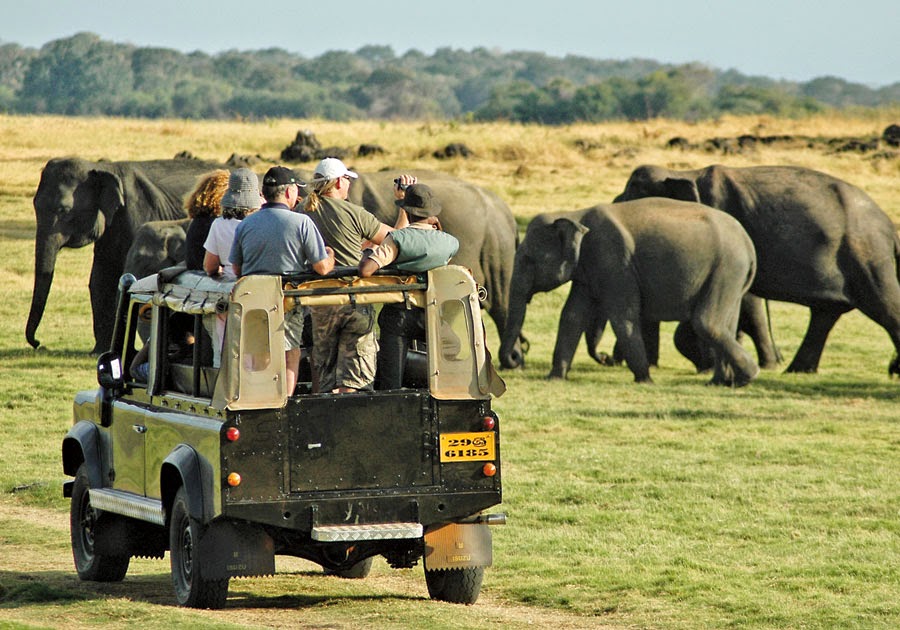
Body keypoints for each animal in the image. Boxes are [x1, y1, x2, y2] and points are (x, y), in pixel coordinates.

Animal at [28, 158, 227, 356]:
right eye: (34, 204)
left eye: (63, 210)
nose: (38, 344)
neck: (102, 168)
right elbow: (100, 278)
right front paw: (99, 352)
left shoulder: (138, 212)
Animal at [500, 199, 760, 386]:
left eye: (528, 259)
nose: (516, 358)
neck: (575, 215)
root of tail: (748, 244)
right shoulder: (588, 270)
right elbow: (571, 317)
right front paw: (554, 378)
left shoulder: (614, 261)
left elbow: (623, 317)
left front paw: (645, 380)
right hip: (731, 277)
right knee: (727, 324)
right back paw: (722, 382)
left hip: (726, 268)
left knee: (707, 322)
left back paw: (749, 375)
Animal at [616, 165, 900, 378]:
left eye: (632, 195)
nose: (610, 360)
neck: (685, 172)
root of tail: (889, 226)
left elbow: (744, 302)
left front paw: (707, 364)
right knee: (825, 314)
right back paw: (797, 370)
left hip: (867, 256)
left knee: (884, 306)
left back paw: (892, 370)